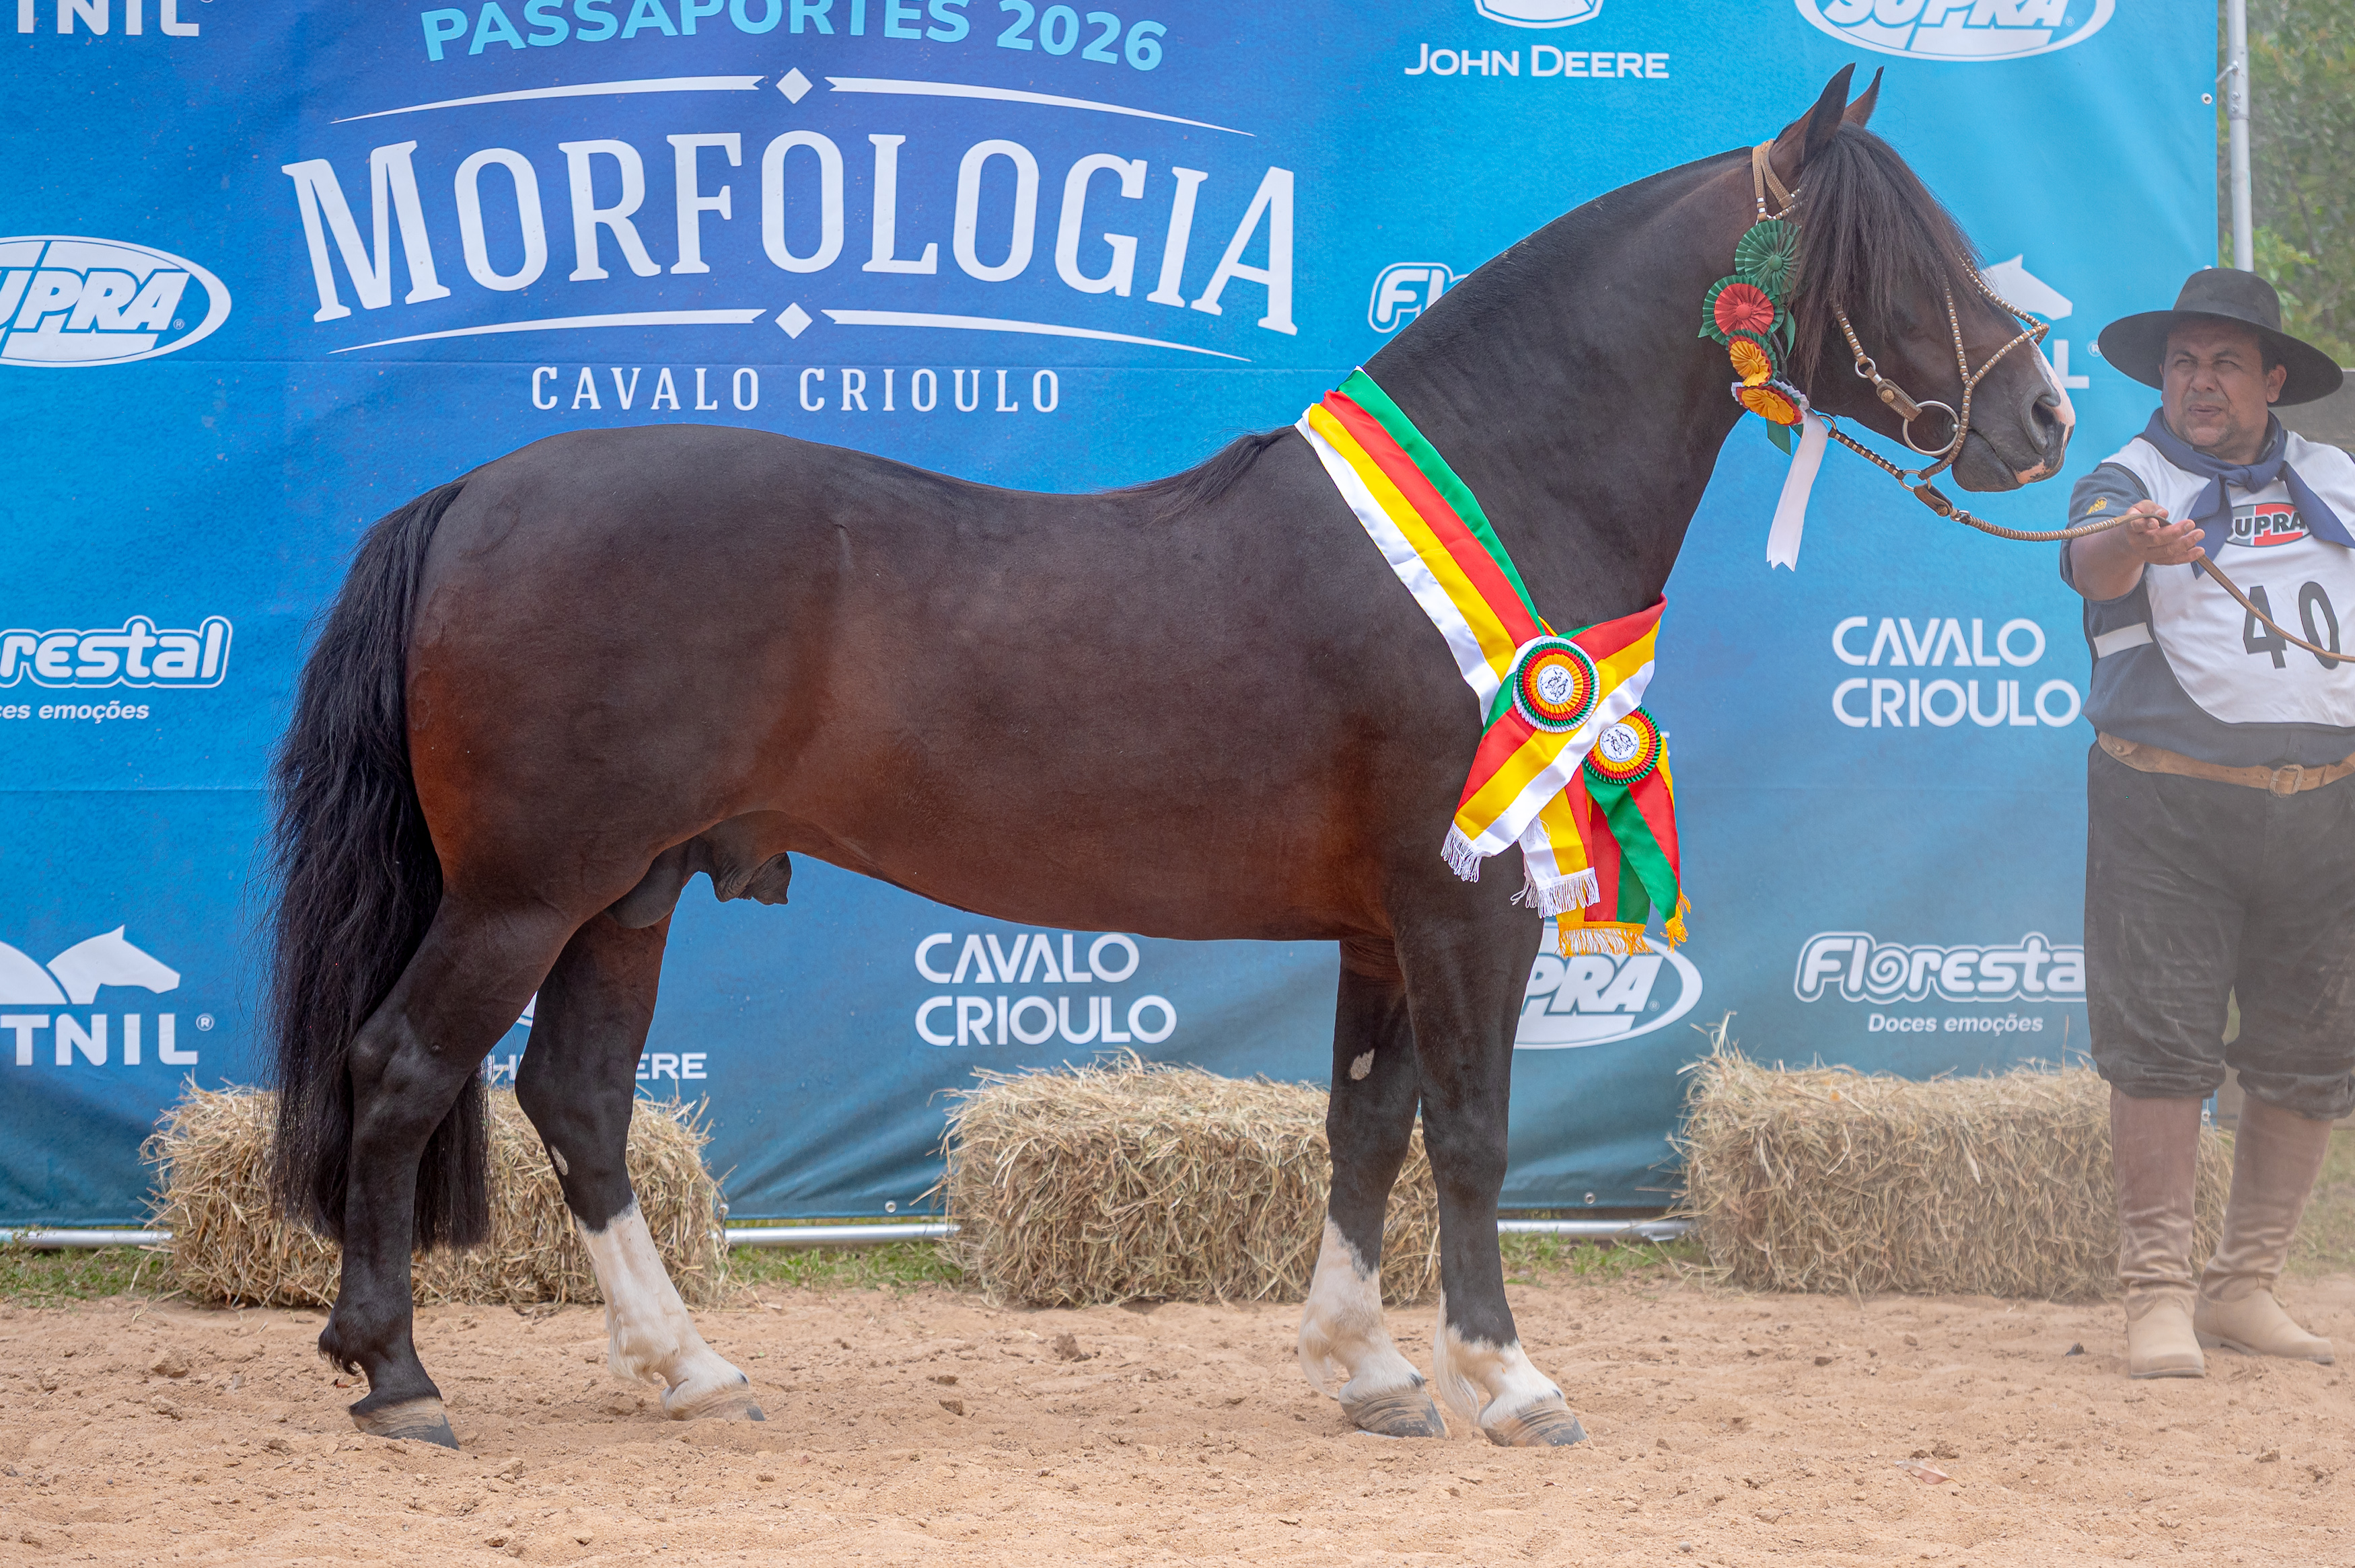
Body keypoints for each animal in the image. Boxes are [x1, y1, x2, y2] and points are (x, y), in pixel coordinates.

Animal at [265, 65, 2071, 1451]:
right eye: (1891, 253)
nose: (2040, 421)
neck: (1491, 501)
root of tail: (477, 493)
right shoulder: (1469, 907)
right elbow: (1473, 1134)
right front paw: (1504, 1377)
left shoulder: (1383, 926)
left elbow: (1367, 1125)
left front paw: (1367, 1367)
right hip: (527, 888)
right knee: (404, 1068)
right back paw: (399, 1373)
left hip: (626, 893)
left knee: (575, 1099)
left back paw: (688, 1365)